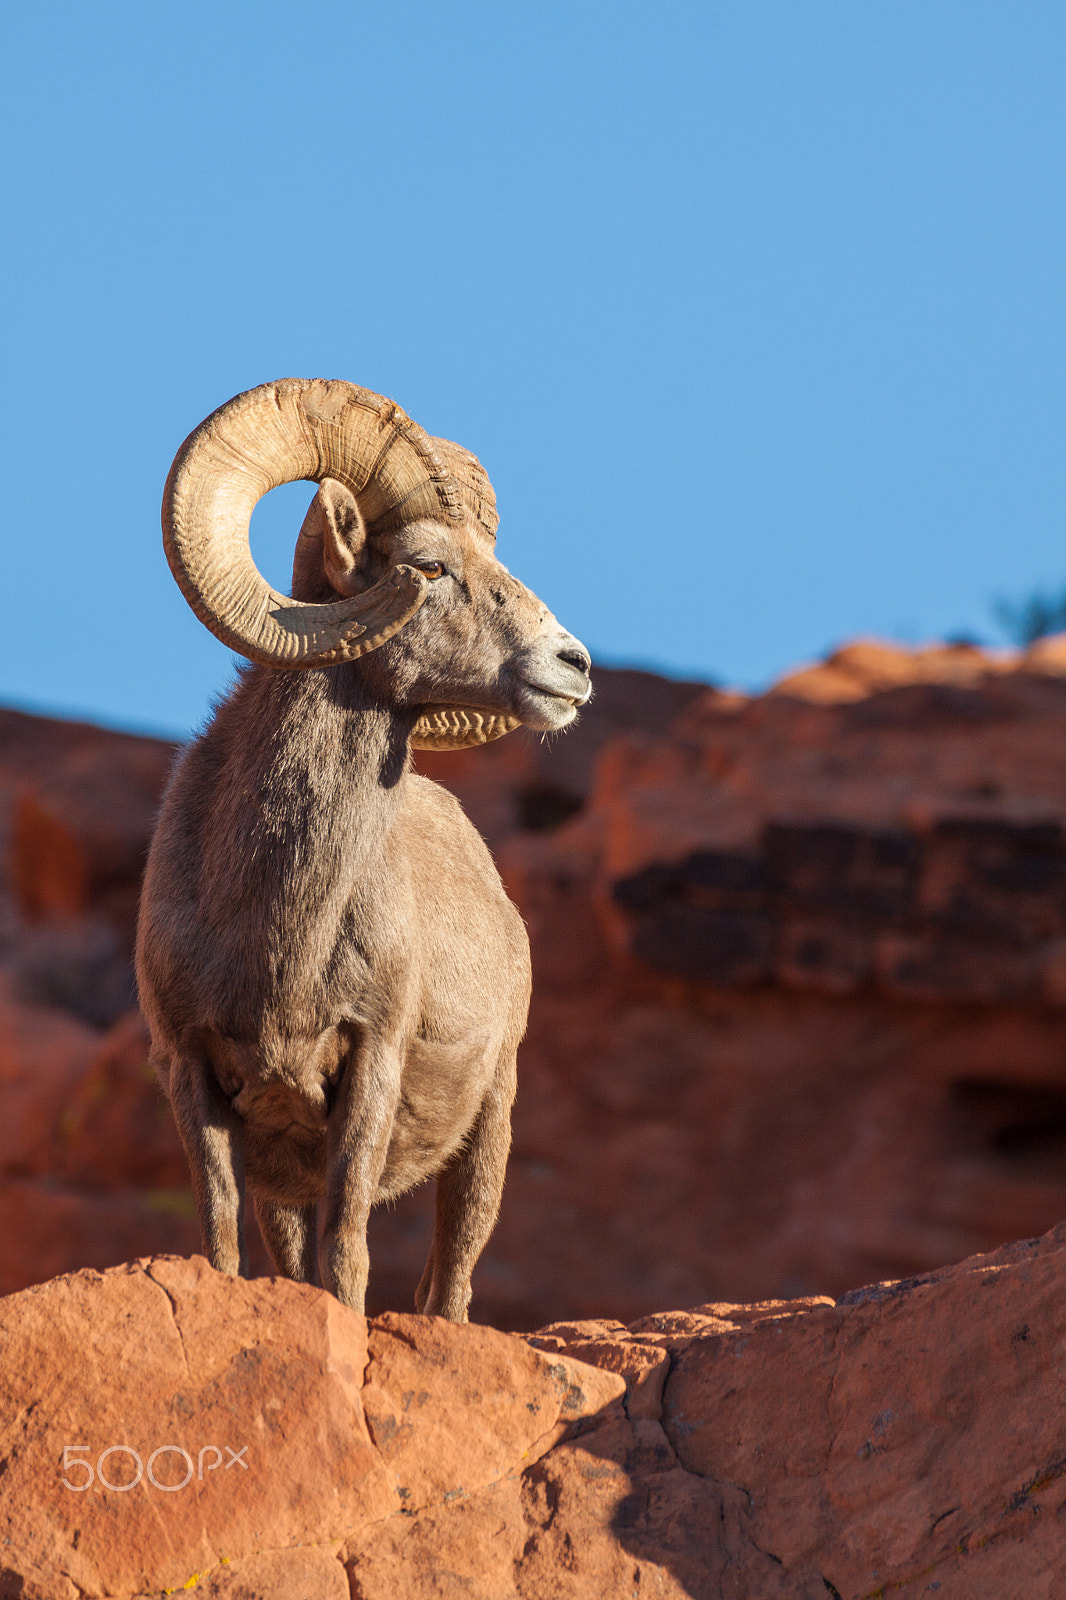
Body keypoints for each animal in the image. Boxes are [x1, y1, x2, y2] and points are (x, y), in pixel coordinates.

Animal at [135, 379, 592, 1320]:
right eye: (430, 567)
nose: (573, 667)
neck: (275, 925)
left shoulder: (371, 1067)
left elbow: (348, 1253)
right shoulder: (193, 1076)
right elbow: (223, 1246)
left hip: (489, 1132)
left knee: (450, 1288)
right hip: (289, 1184)